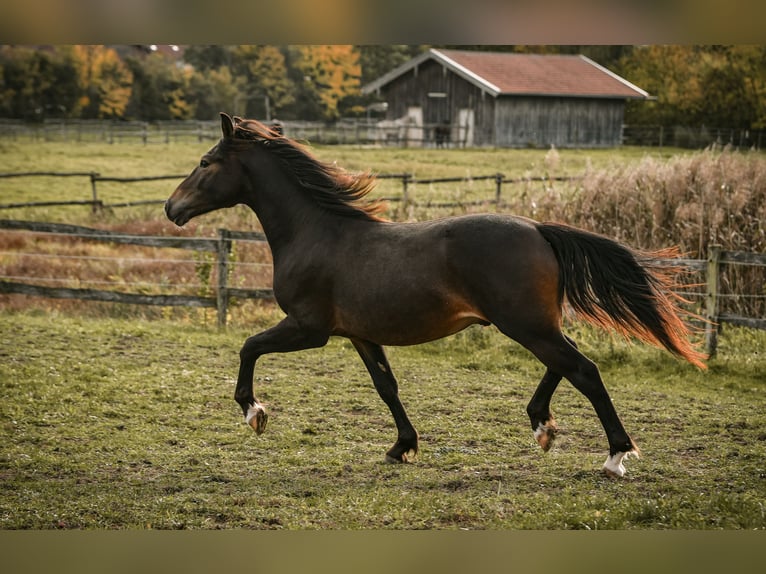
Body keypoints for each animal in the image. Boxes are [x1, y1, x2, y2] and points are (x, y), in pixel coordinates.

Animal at [165, 113, 706, 478]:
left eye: (205, 162)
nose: (172, 208)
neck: (316, 233)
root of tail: (537, 227)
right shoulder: (359, 335)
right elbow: (386, 387)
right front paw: (402, 446)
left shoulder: (308, 329)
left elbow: (249, 346)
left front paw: (254, 412)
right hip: (534, 321)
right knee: (567, 362)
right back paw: (542, 426)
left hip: (524, 323)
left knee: (584, 369)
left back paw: (615, 455)